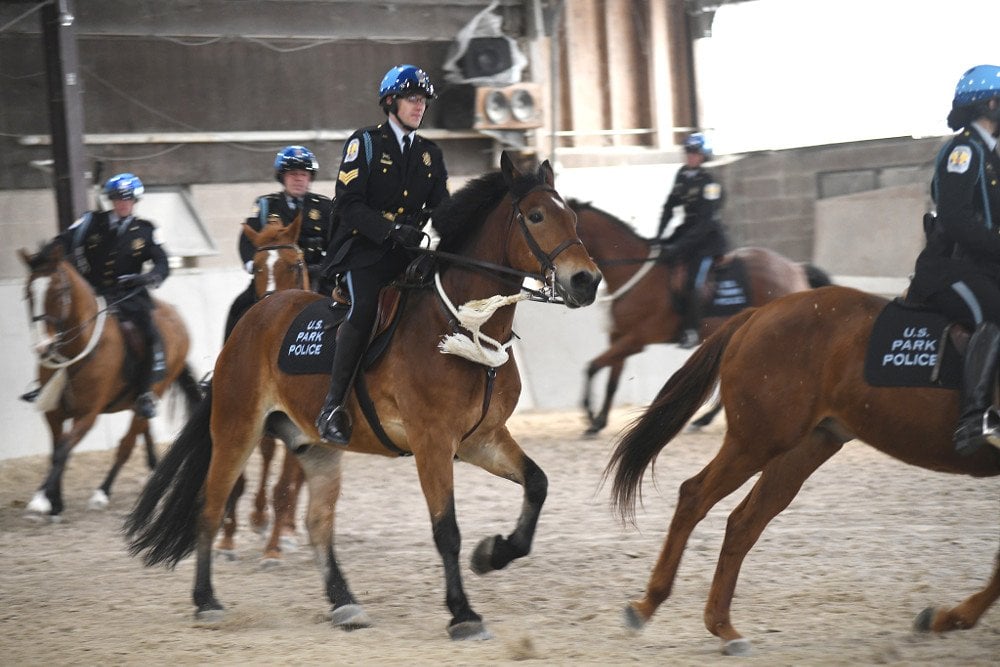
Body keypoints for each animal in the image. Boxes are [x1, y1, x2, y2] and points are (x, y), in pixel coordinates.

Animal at [19, 243, 203, 520]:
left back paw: (102, 492)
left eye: (58, 291)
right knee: (143, 427)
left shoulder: (88, 414)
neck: (76, 349)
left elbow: (63, 450)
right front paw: (53, 501)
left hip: (156, 388)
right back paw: (153, 468)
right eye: (29, 292)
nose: (44, 347)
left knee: (127, 443)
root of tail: (176, 317)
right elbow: (57, 449)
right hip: (137, 398)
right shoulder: (54, 413)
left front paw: (43, 499)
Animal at [218, 215, 308, 564]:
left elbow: (284, 486)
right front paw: (227, 539)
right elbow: (237, 477)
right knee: (269, 453)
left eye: (295, 265)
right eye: (255, 267)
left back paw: (286, 531)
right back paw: (260, 518)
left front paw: (272, 549)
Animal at [572, 201, 828, 436]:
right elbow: (610, 382)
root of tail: (795, 268)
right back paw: (706, 419)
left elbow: (592, 367)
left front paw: (590, 415)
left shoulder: (636, 340)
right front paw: (599, 421)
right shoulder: (619, 338)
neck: (634, 274)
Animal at [600, 284, 1000, 656]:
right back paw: (650, 606)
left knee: (743, 523)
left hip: (805, 446)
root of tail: (759, 313)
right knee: (695, 496)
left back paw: (721, 627)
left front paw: (949, 618)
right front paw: (950, 618)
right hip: (759, 441)